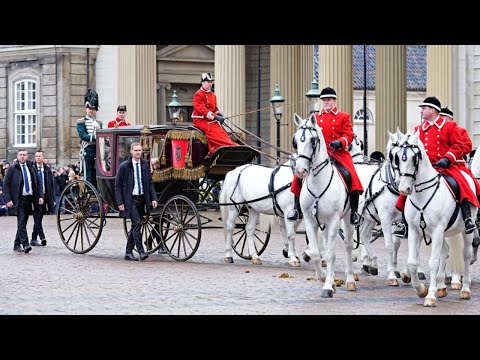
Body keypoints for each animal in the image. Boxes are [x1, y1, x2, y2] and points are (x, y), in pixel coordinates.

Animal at [292, 113, 356, 298]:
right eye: (296, 141)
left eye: (313, 140)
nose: (301, 171)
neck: (318, 182)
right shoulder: (310, 219)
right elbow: (315, 252)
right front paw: (323, 277)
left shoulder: (334, 219)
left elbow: (331, 253)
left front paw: (327, 286)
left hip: (347, 219)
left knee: (348, 246)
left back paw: (350, 280)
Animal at [392, 131, 474, 306]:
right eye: (397, 158)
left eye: (414, 158)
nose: (404, 189)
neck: (422, 193)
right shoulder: (415, 231)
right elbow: (412, 262)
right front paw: (421, 290)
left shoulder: (436, 231)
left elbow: (433, 262)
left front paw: (430, 295)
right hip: (442, 233)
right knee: (445, 252)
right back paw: (441, 287)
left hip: (466, 231)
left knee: (466, 254)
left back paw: (465, 289)